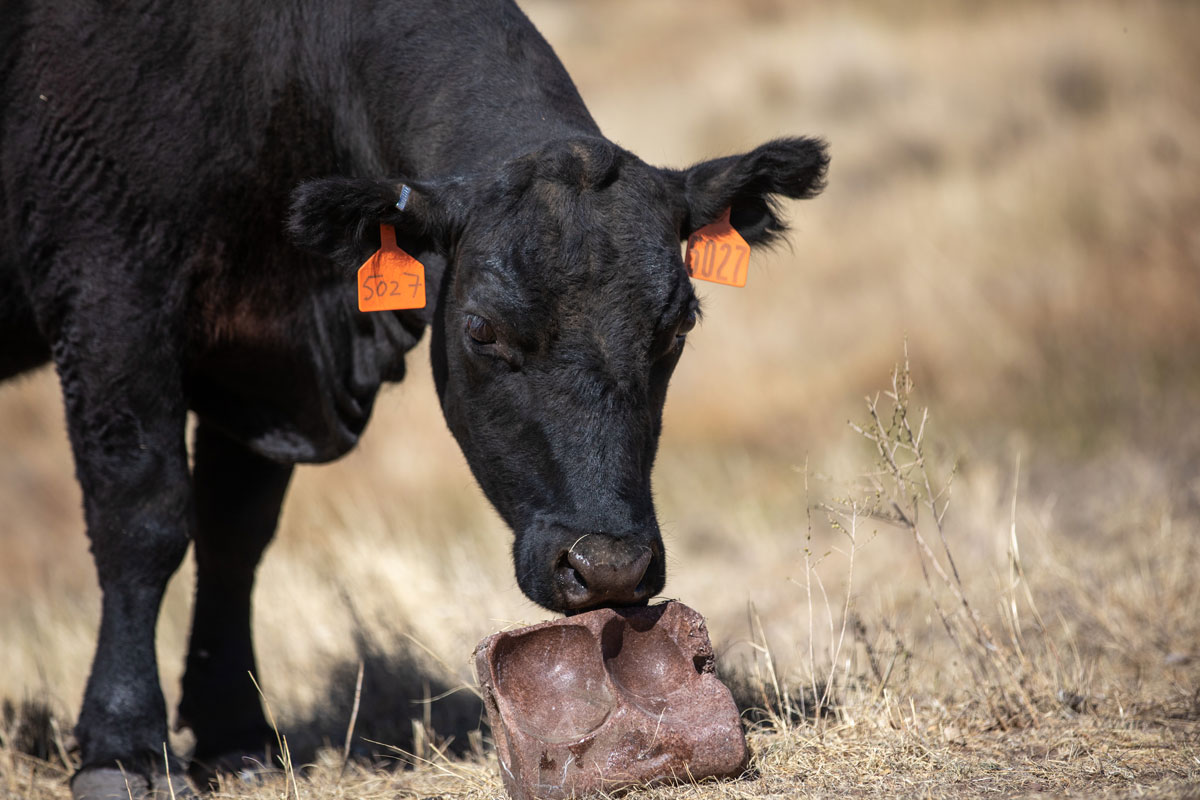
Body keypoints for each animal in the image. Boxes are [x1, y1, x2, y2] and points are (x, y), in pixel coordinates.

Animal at [0, 3, 825, 796]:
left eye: (680, 322)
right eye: (482, 329)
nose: (611, 567)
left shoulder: (256, 369)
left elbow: (234, 536)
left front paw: (238, 737)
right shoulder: (110, 294)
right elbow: (144, 520)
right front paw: (125, 746)